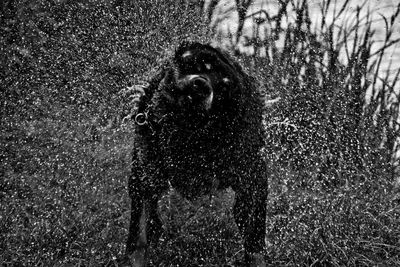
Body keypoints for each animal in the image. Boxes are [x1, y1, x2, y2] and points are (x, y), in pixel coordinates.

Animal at [126, 43, 268, 266]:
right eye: (199, 64)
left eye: (224, 88)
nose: (201, 85)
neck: (186, 135)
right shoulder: (145, 174)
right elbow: (139, 235)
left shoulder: (252, 175)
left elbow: (254, 234)